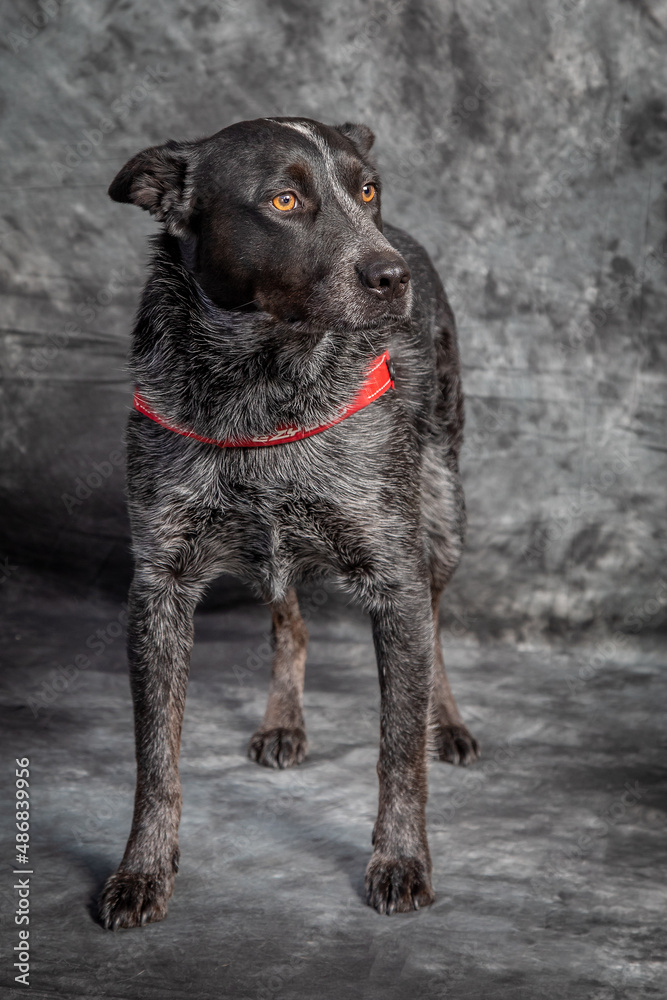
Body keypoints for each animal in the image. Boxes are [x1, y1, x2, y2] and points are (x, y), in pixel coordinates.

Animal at [96, 117, 478, 928]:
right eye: (284, 200)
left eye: (367, 188)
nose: (391, 275)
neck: (263, 383)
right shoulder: (158, 587)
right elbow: (156, 757)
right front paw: (142, 870)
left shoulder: (394, 574)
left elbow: (399, 749)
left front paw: (401, 860)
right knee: (288, 621)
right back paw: (283, 719)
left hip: (444, 509)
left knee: (435, 623)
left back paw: (450, 722)